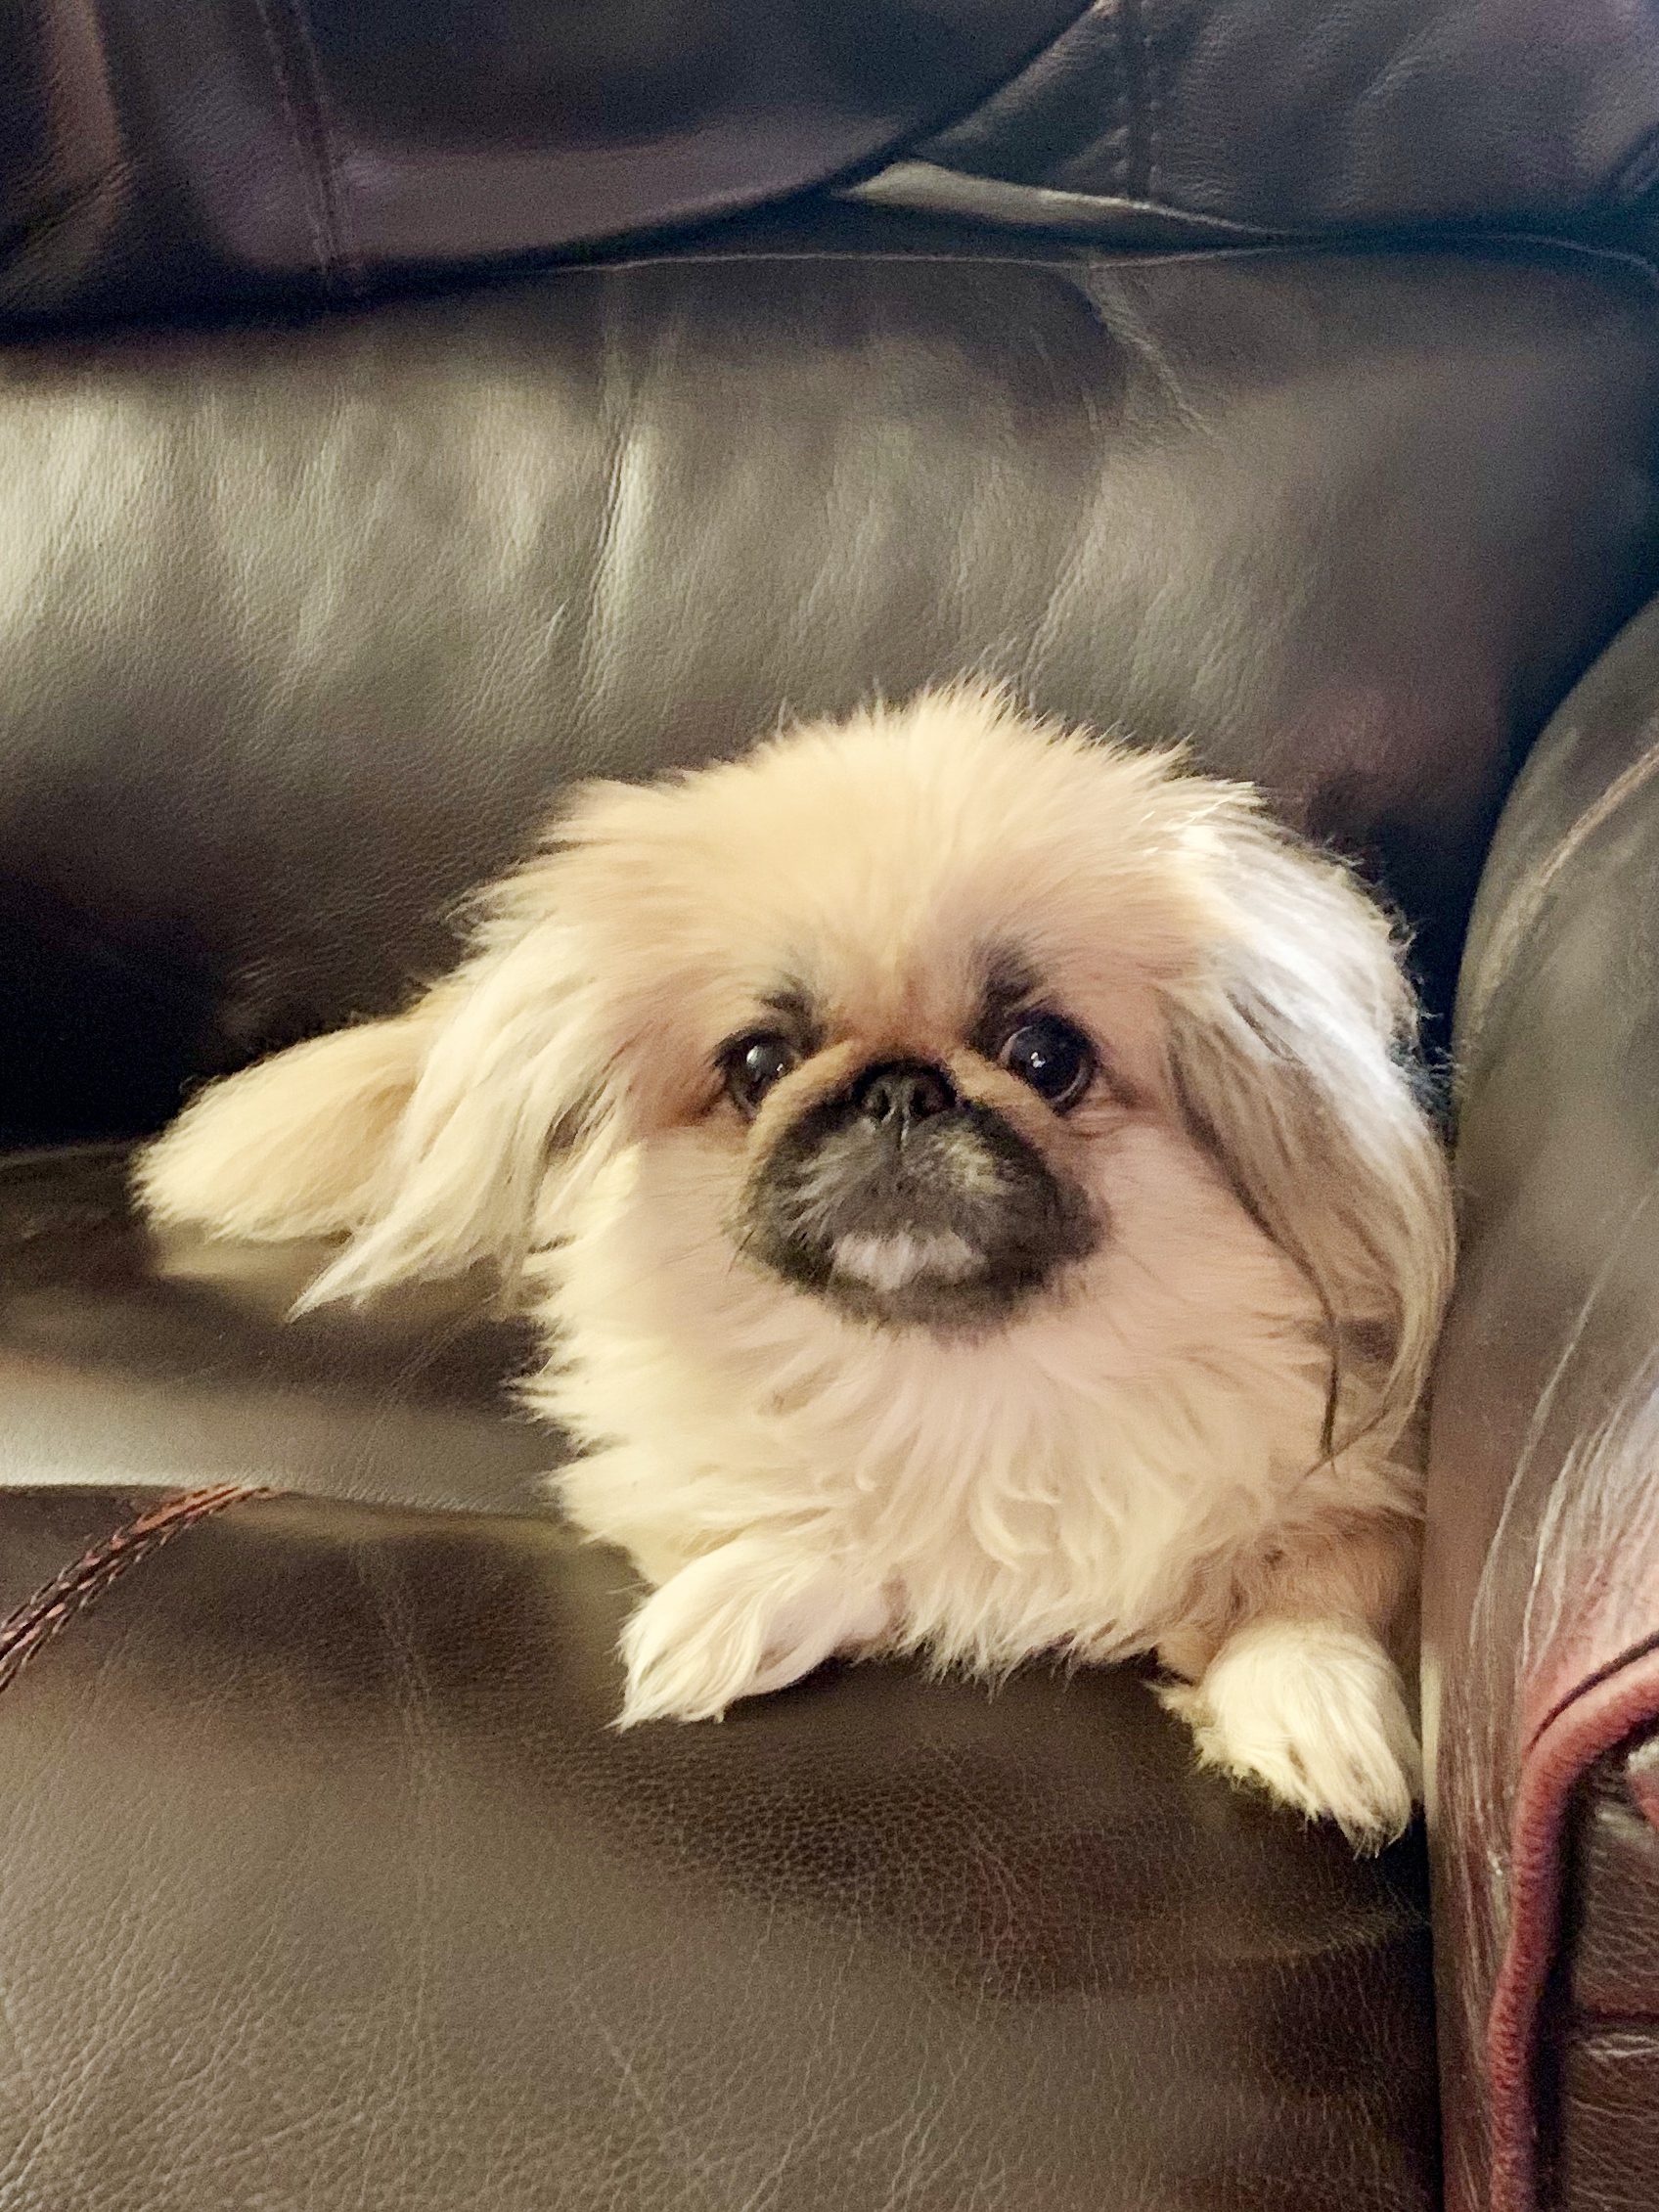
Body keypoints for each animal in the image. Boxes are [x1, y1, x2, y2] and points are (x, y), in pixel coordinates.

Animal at [136, 681, 1451, 1840]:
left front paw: (1313, 1715)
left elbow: (1312, 1590)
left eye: (1044, 1054)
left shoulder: (1366, 1488)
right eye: (760, 1061)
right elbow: (856, 1527)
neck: (961, 1375)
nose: (899, 1087)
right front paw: (733, 1603)